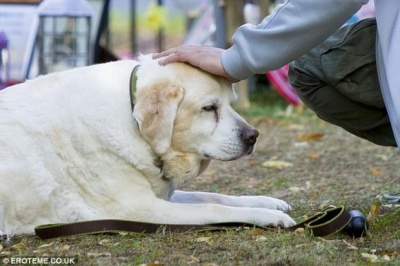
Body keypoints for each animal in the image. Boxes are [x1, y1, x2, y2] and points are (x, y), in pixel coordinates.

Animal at [0, 55, 294, 236]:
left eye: (231, 103)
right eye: (209, 108)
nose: (253, 136)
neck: (136, 125)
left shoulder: (162, 195)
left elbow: (216, 196)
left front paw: (267, 203)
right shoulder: (138, 208)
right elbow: (213, 208)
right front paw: (268, 216)